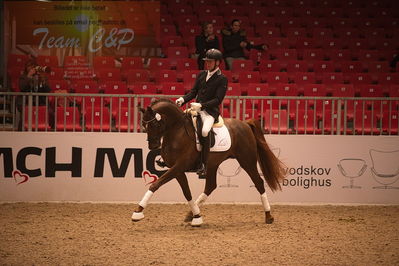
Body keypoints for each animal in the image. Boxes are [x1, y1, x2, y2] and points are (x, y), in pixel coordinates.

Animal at [133, 98, 286, 225]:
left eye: (154, 123)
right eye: (143, 124)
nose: (152, 146)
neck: (176, 131)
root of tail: (245, 124)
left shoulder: (179, 166)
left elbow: (155, 184)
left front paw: (138, 212)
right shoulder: (177, 170)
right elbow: (187, 192)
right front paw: (197, 216)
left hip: (247, 161)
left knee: (259, 183)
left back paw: (268, 216)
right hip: (213, 164)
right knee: (211, 186)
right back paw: (190, 215)